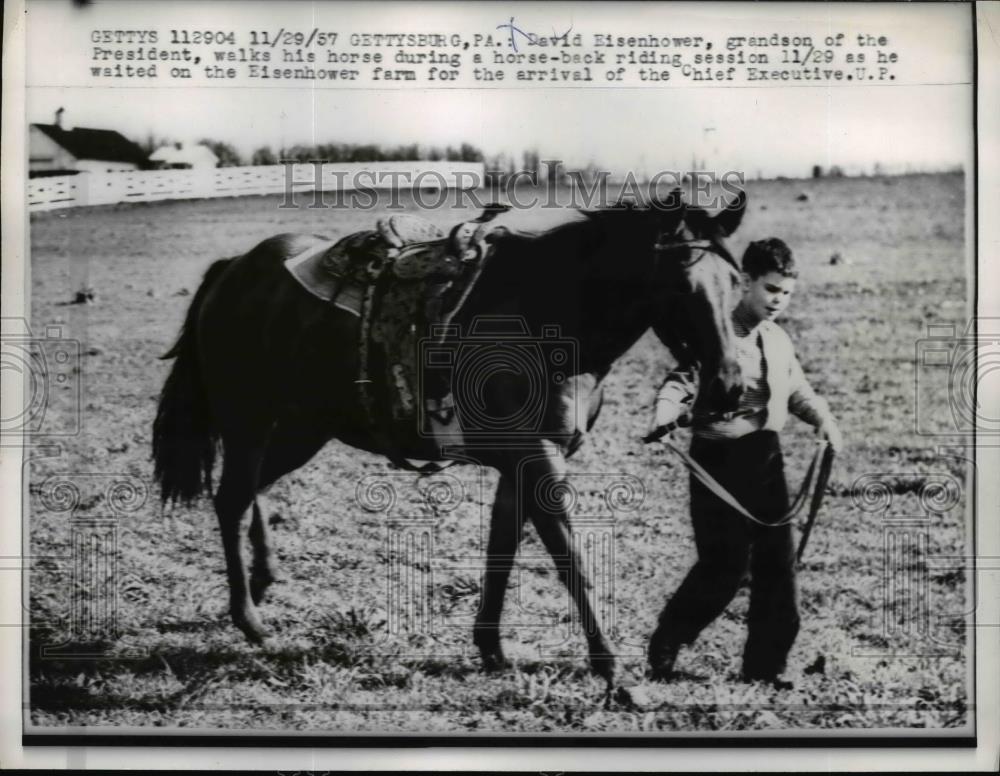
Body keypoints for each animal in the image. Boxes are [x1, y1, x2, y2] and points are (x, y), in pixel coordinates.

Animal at [148, 189, 744, 692]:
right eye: (682, 281)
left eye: (735, 283)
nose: (729, 385)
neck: (545, 313)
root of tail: (235, 269)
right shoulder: (538, 459)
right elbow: (571, 559)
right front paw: (613, 671)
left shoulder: (523, 463)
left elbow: (502, 550)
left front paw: (492, 650)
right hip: (249, 423)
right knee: (231, 500)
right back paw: (251, 621)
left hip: (301, 429)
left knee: (252, 492)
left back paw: (265, 580)